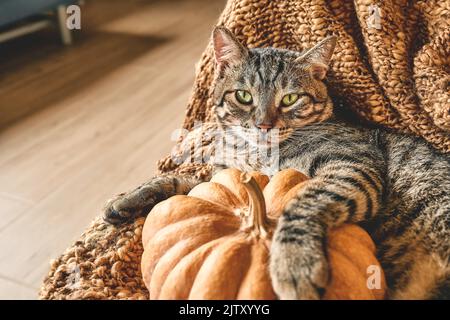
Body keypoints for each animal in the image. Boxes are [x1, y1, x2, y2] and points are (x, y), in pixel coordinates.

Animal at [103, 27, 450, 300]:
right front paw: (126, 199)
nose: (263, 125)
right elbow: (180, 180)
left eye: (289, 99)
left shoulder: (351, 166)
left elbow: (301, 203)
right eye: (243, 96)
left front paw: (293, 264)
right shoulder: (223, 177)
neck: (252, 153)